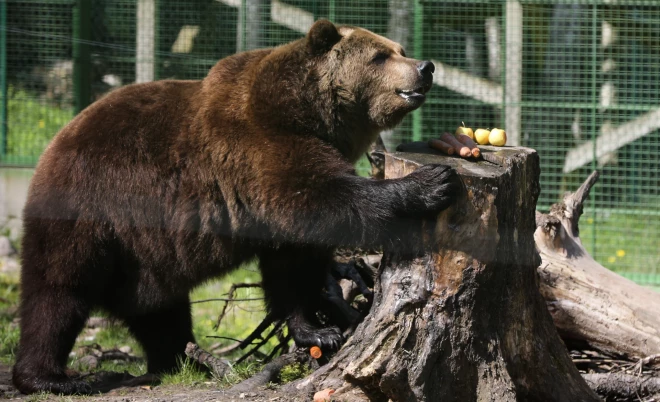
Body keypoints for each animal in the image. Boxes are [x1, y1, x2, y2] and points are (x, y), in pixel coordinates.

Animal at [12, 20, 456, 394]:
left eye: (399, 49)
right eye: (380, 55)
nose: (425, 66)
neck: (314, 114)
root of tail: (55, 142)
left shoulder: (270, 195)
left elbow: (291, 262)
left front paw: (317, 324)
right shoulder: (261, 145)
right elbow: (325, 199)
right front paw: (432, 181)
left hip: (142, 254)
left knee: (158, 308)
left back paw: (183, 360)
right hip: (91, 211)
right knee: (57, 294)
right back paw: (54, 377)